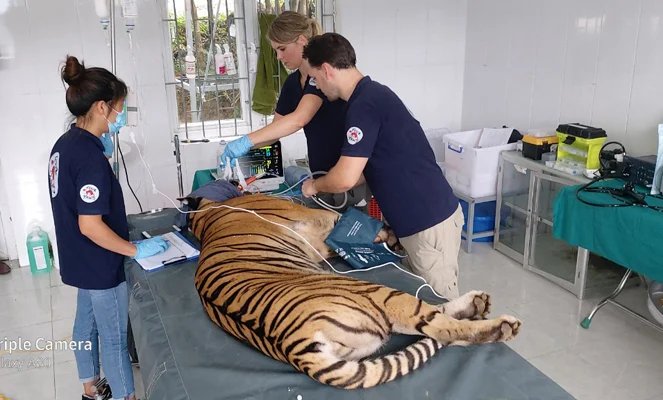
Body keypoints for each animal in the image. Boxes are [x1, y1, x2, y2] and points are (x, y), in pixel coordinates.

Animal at [189, 195, 520, 390]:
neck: (203, 217)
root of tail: (296, 348)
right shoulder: (315, 216)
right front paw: (386, 235)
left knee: (440, 321)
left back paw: (477, 304)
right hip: (382, 296)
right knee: (443, 326)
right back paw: (499, 323)